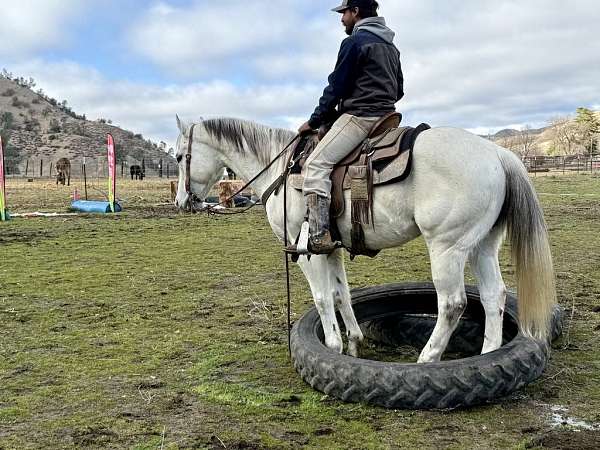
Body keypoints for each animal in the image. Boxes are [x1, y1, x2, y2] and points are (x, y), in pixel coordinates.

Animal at [171, 116, 556, 362]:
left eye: (177, 156)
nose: (182, 201)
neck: (281, 172)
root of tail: (497, 153)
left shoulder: (305, 252)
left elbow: (322, 298)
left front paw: (333, 347)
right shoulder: (330, 249)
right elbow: (341, 295)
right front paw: (354, 342)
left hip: (447, 248)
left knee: (452, 304)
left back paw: (427, 358)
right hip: (481, 246)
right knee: (493, 296)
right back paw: (489, 353)